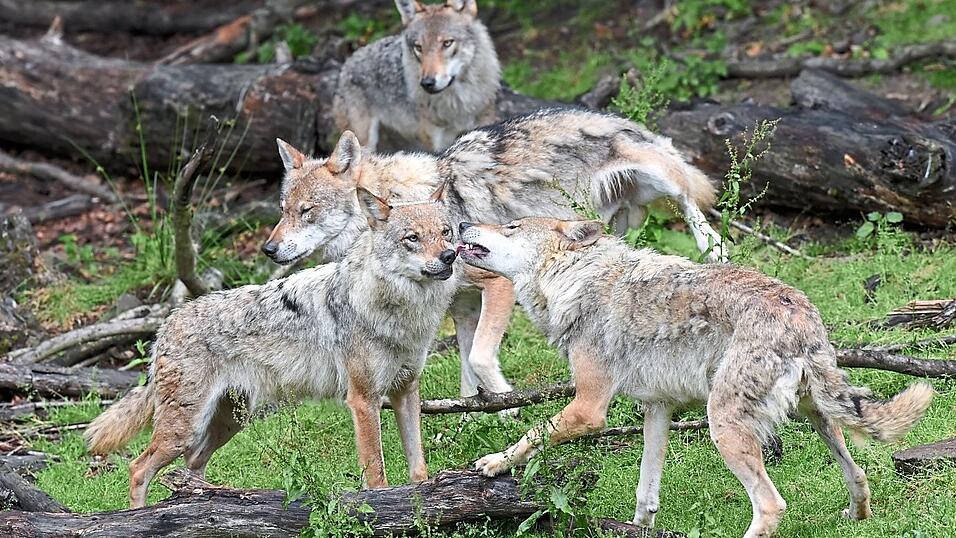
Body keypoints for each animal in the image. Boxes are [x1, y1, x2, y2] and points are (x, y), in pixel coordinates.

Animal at [85, 184, 459, 508]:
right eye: (412, 238)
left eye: (445, 232)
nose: (450, 256)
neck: (401, 313)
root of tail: (167, 322)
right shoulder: (364, 400)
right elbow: (376, 474)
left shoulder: (406, 391)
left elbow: (418, 466)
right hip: (183, 431)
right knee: (138, 469)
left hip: (225, 425)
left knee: (191, 469)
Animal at [263, 108, 725, 401]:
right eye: (283, 210)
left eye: (307, 211)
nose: (269, 249)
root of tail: (614, 115)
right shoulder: (464, 306)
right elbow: (468, 371)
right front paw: (476, 415)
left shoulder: (500, 286)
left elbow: (480, 359)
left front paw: (507, 402)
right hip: (614, 222)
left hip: (662, 177)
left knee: (694, 206)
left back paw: (713, 251)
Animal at [333, 0, 499, 152]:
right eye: (419, 47)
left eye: (447, 43)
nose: (427, 83)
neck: (457, 103)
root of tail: (348, 61)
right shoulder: (435, 141)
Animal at [457, 217, 933, 538]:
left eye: (511, 225)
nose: (461, 223)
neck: (578, 281)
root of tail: (802, 318)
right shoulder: (657, 409)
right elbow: (646, 492)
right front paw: (637, 527)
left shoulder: (588, 408)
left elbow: (531, 434)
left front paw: (492, 463)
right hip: (816, 418)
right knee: (859, 475)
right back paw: (855, 518)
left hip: (722, 425)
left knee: (771, 505)